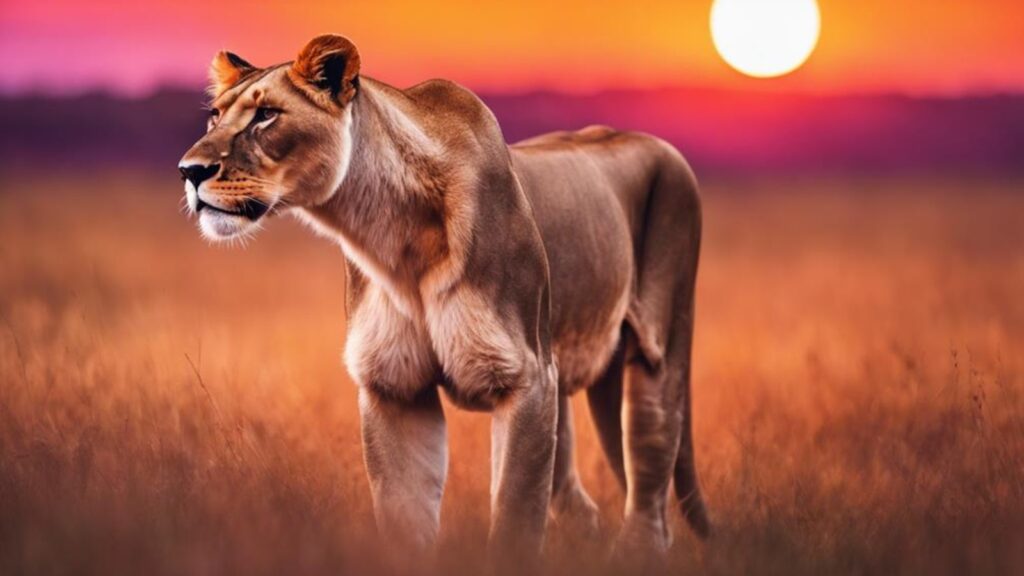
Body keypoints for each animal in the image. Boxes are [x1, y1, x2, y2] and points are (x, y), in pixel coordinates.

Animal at [179, 34, 710, 565]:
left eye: (267, 115)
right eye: (214, 116)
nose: (189, 170)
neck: (390, 234)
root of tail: (658, 143)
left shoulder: (527, 379)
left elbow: (516, 517)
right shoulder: (394, 387)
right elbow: (403, 518)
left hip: (656, 350)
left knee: (650, 490)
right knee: (583, 504)